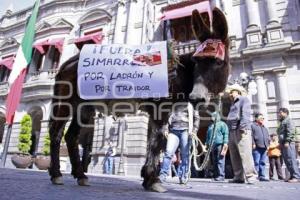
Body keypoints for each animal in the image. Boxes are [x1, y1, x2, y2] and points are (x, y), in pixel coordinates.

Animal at [48, 7, 229, 192]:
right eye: (196, 60)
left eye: (218, 62)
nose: (196, 97)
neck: (179, 73)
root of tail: (65, 64)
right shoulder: (160, 109)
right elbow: (157, 141)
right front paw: (153, 180)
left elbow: (153, 141)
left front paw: (147, 177)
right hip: (66, 103)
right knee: (56, 133)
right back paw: (57, 175)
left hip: (83, 108)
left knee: (71, 136)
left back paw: (81, 176)